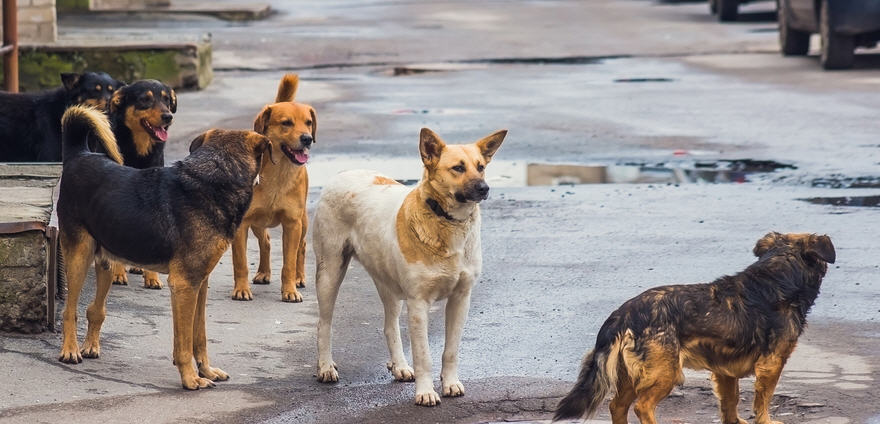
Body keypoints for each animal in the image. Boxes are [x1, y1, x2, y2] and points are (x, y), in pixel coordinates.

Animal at [58, 104, 272, 390]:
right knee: (69, 310)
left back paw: (90, 345)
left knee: (95, 309)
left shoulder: (200, 283)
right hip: (78, 257)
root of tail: (79, 154)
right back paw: (70, 350)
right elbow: (184, 342)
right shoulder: (184, 285)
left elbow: (199, 336)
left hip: (106, 261)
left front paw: (206, 370)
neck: (216, 176)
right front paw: (190, 378)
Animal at [229, 74, 318, 304]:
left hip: (303, 222)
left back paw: (299, 277)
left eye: (308, 123)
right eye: (286, 123)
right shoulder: (242, 224)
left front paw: (290, 290)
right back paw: (263, 272)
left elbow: (289, 263)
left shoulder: (292, 224)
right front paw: (241, 289)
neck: (278, 173)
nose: (307, 138)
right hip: (257, 223)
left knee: (302, 247)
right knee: (266, 242)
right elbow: (240, 262)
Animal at [314, 127, 508, 406]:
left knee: (389, 326)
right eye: (458, 168)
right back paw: (325, 367)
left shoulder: (461, 299)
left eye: (480, 167)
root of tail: (343, 173)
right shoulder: (418, 303)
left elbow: (451, 351)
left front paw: (450, 383)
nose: (484, 188)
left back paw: (400, 366)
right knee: (324, 324)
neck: (446, 221)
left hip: (388, 283)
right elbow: (424, 354)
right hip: (330, 272)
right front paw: (425, 392)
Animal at [552, 232, 836, 424]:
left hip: (632, 374)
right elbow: (763, 400)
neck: (778, 276)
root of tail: (623, 314)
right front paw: (764, 420)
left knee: (617, 406)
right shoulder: (772, 364)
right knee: (642, 406)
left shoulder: (725, 371)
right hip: (665, 372)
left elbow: (730, 401)